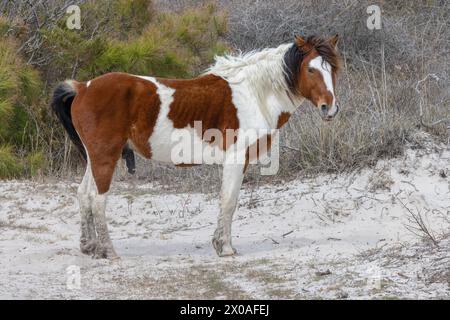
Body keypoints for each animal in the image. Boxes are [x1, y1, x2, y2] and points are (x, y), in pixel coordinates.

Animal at [51, 35, 342, 260]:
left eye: (333, 70)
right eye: (311, 70)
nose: (329, 108)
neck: (253, 94)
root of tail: (83, 87)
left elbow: (226, 200)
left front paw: (219, 244)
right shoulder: (236, 159)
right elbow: (229, 201)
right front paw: (225, 248)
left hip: (96, 158)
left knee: (83, 194)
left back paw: (89, 246)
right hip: (106, 157)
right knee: (98, 200)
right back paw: (108, 251)